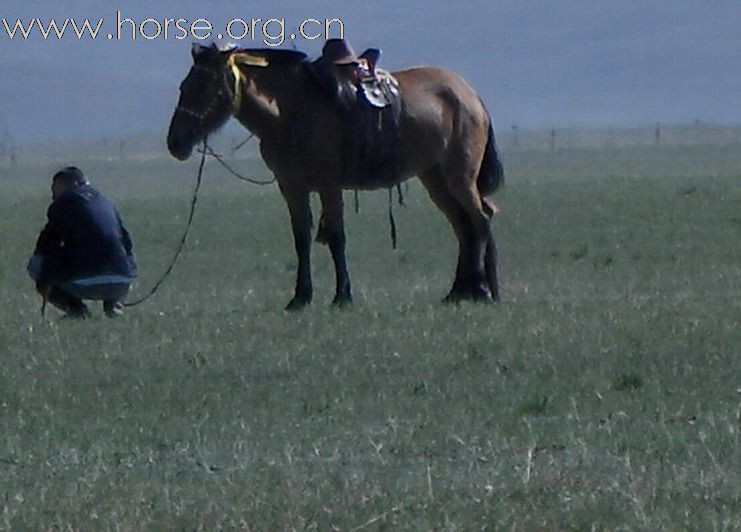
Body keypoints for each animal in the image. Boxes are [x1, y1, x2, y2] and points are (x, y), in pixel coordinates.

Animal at [167, 43, 502, 310]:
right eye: (183, 86)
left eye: (204, 87)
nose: (175, 142)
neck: (289, 111)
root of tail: (469, 94)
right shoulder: (292, 187)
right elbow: (301, 237)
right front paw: (300, 297)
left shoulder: (329, 185)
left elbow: (336, 237)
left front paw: (342, 296)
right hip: (434, 177)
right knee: (463, 225)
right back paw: (461, 290)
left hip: (459, 175)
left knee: (479, 219)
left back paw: (482, 289)